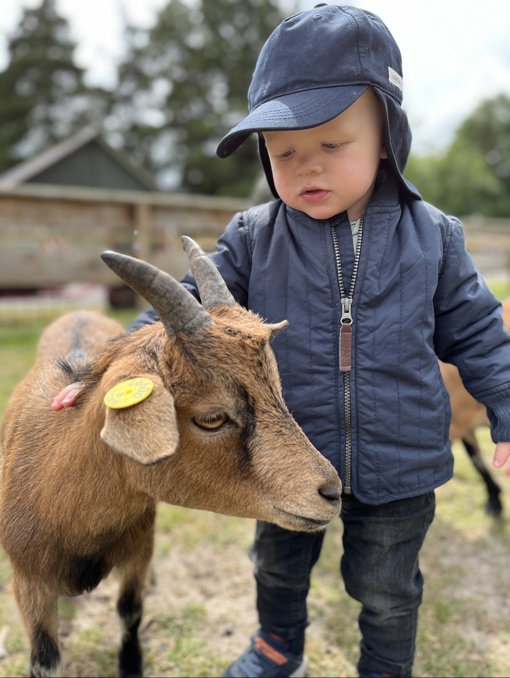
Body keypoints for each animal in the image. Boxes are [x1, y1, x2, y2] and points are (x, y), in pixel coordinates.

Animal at [0, 237, 341, 678]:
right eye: (212, 418)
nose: (331, 492)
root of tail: (78, 311)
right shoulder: (28, 581)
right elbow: (45, 658)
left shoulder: (138, 553)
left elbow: (130, 611)